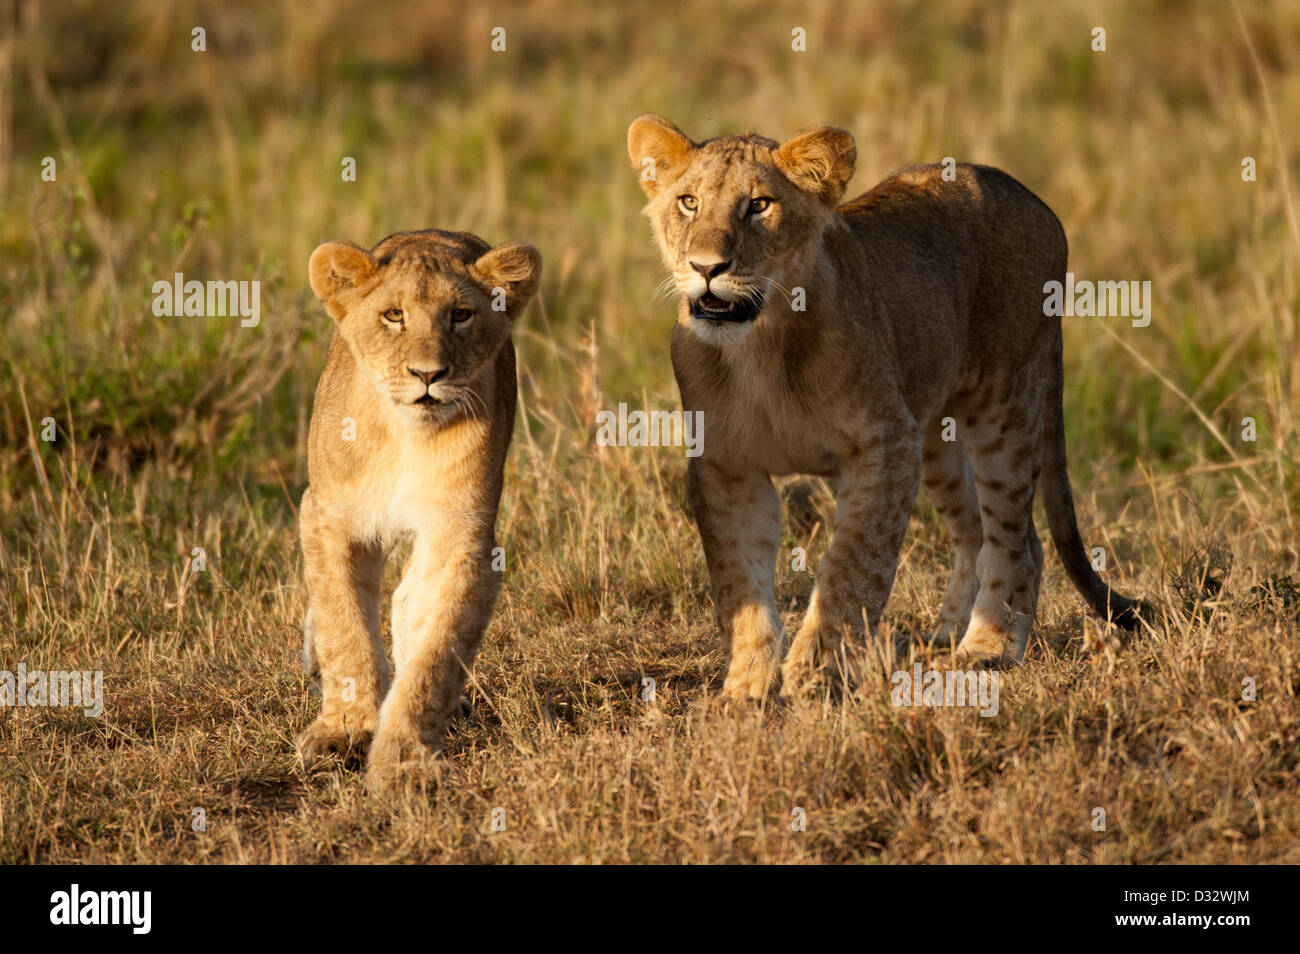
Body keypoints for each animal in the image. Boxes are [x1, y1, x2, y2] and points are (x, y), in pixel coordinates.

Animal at [297, 228, 540, 788]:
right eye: (394, 316)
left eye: (461, 315)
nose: (428, 374)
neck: (405, 435)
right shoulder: (328, 518)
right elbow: (344, 624)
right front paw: (345, 730)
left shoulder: (462, 537)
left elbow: (436, 651)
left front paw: (404, 756)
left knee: (408, 603)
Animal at [626, 114, 1147, 698]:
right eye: (688, 202)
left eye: (758, 205)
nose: (707, 266)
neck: (759, 347)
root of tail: (1036, 200)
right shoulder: (726, 466)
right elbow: (739, 583)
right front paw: (746, 690)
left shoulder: (886, 443)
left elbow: (852, 564)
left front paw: (816, 675)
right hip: (935, 435)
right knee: (978, 531)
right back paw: (943, 636)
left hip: (1005, 407)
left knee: (1016, 540)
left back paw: (986, 649)